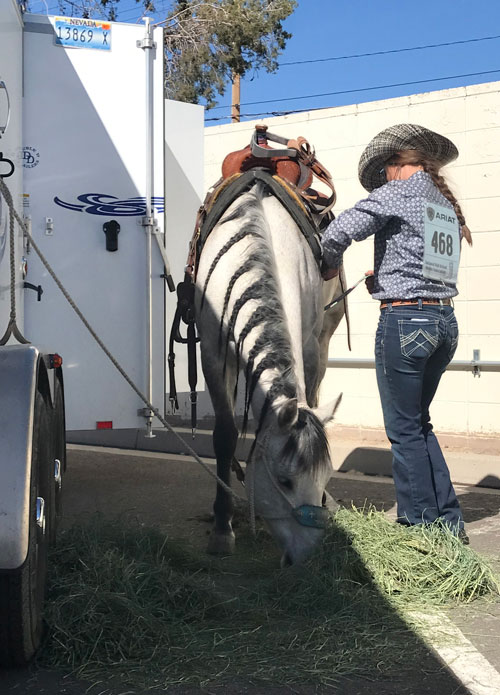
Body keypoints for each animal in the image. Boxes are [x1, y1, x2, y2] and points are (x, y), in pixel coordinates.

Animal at [195, 172, 345, 567]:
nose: (306, 557)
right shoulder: (212, 352)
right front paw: (222, 529)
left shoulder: (308, 344)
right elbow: (225, 435)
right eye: (285, 480)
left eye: (325, 477)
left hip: (326, 332)